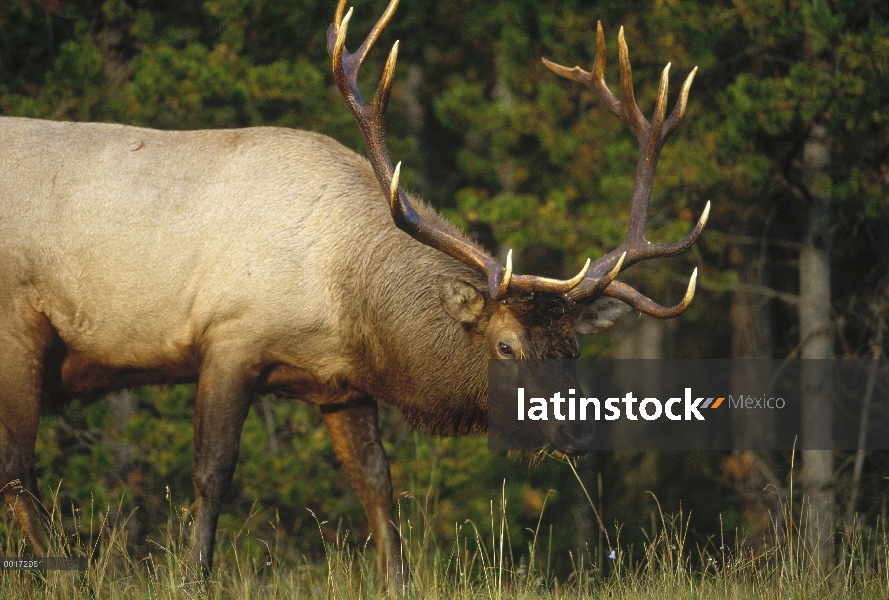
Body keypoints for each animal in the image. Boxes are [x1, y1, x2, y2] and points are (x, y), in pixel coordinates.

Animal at [0, 0, 708, 584]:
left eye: (573, 347)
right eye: (505, 347)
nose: (578, 431)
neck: (344, 296)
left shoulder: (340, 384)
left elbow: (377, 486)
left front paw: (399, 581)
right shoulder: (229, 338)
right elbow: (211, 475)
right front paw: (194, 576)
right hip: (20, 325)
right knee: (17, 472)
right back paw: (65, 578)